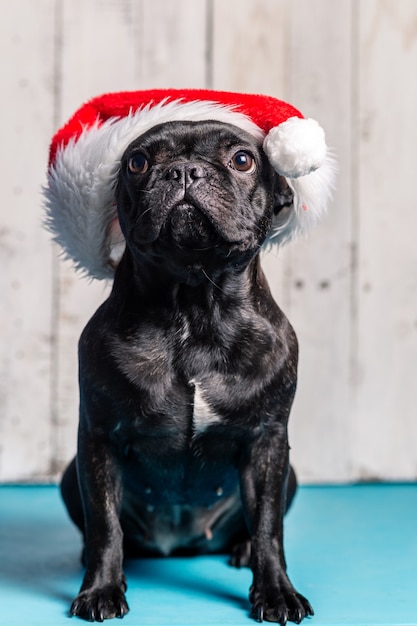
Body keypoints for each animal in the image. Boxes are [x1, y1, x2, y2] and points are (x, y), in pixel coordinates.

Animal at [60, 119, 314, 620]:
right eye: (137, 162)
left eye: (243, 159)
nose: (184, 170)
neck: (195, 305)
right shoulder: (98, 438)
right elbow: (104, 524)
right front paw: (101, 590)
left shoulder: (268, 442)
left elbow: (269, 526)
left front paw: (276, 591)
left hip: (289, 472)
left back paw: (241, 550)